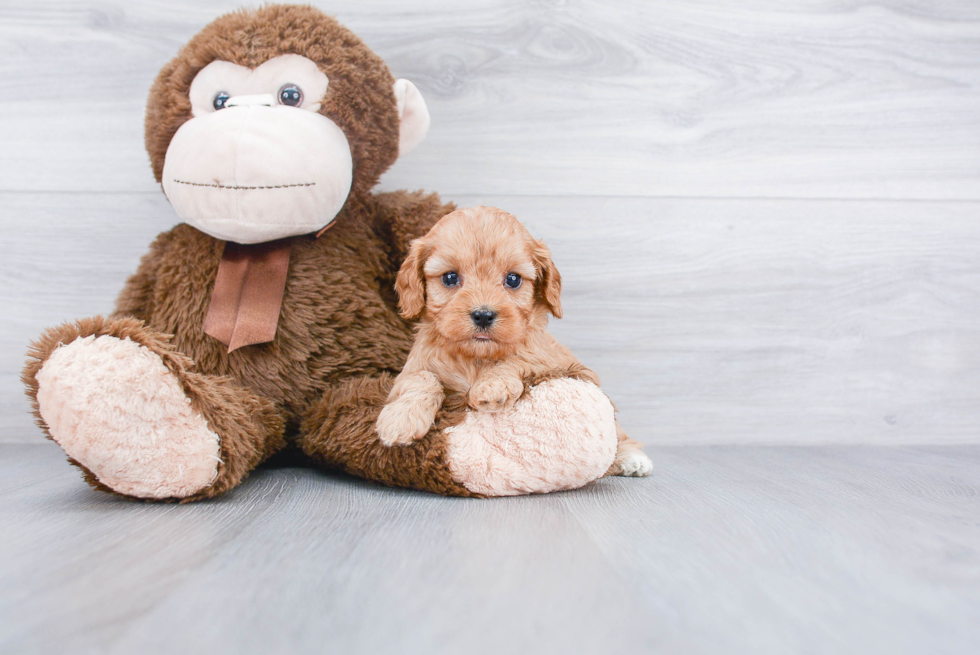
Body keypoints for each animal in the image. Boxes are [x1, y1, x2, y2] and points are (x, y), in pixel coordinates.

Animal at [376, 205, 652, 476]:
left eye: (513, 279)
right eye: (450, 278)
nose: (483, 315)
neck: (477, 358)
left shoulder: (555, 363)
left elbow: (519, 357)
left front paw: (493, 386)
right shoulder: (409, 371)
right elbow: (421, 378)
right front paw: (400, 419)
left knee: (620, 435)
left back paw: (632, 459)